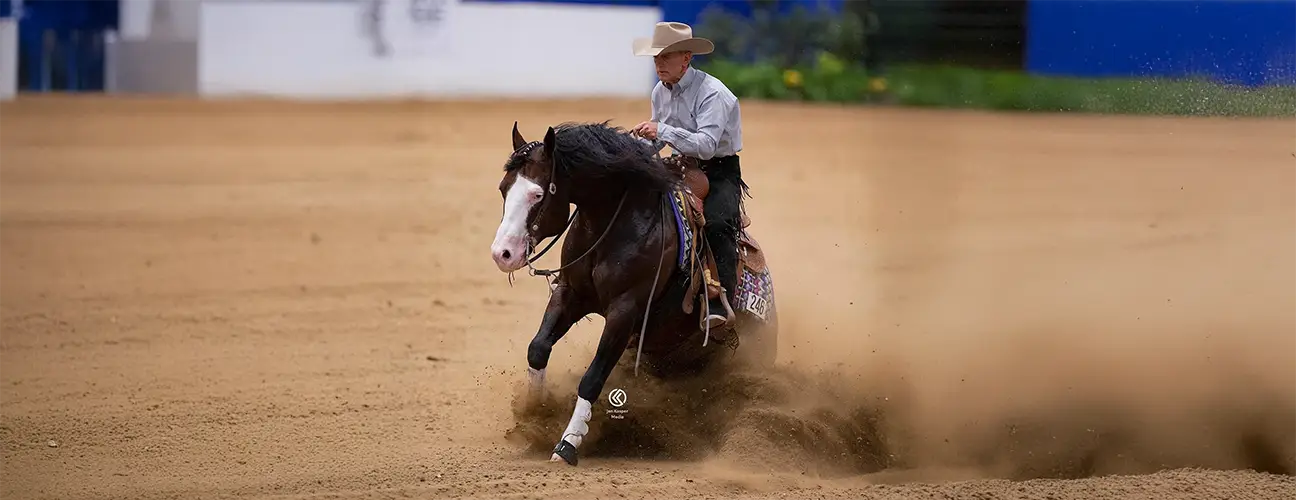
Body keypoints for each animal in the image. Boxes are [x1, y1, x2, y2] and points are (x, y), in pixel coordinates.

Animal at [489, 120, 778, 466]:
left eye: (537, 193)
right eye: (503, 188)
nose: (502, 254)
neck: (614, 224)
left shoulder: (625, 309)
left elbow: (593, 378)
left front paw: (567, 444)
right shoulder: (570, 293)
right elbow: (538, 348)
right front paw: (535, 417)